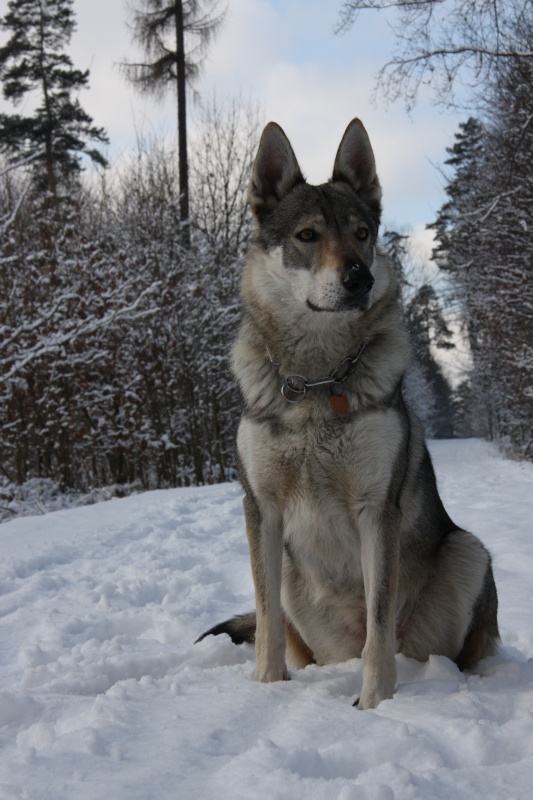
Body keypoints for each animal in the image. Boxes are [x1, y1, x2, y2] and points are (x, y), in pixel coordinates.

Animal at [196, 117, 498, 708]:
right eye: (308, 236)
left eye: (361, 233)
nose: (360, 278)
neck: (317, 380)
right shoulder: (262, 508)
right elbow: (264, 620)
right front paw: (266, 689)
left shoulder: (375, 510)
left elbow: (379, 622)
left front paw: (374, 706)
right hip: (296, 583)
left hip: (468, 549)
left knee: (457, 649)